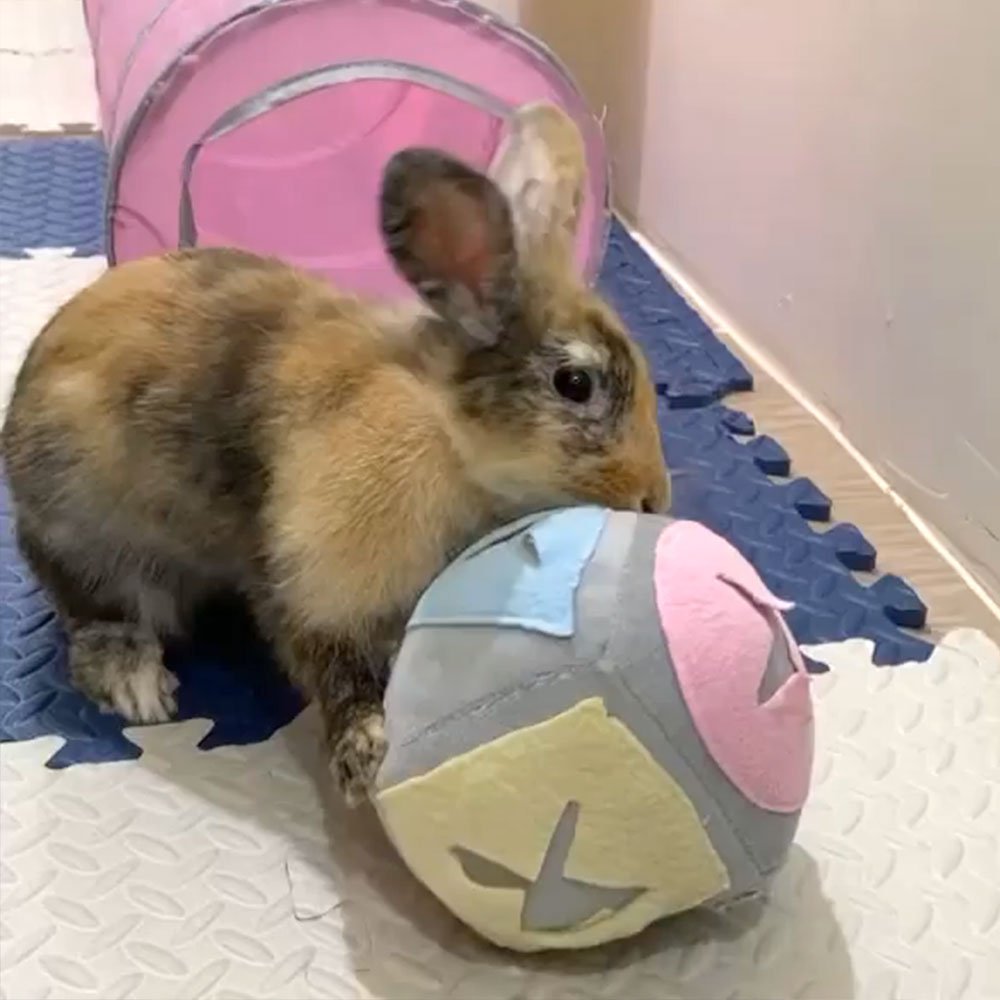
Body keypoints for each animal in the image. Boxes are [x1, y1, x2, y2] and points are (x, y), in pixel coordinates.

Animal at [1, 103, 669, 804]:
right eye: (576, 383)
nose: (653, 497)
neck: (445, 430)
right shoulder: (320, 581)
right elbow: (332, 666)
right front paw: (364, 757)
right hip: (96, 541)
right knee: (97, 616)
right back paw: (138, 685)